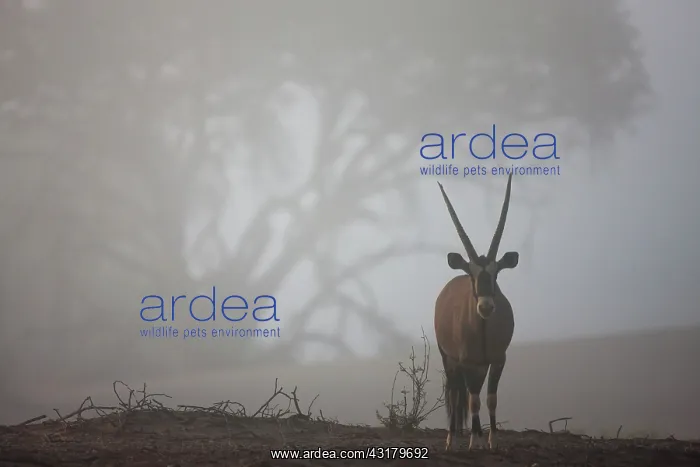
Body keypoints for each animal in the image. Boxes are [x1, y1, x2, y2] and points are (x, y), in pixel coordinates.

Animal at [435, 173, 518, 451]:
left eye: (497, 272)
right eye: (472, 273)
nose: (486, 306)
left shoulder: (498, 359)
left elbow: (490, 398)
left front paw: (491, 439)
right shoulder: (466, 361)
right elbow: (472, 399)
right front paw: (473, 441)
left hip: (479, 366)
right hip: (449, 359)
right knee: (455, 393)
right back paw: (452, 438)